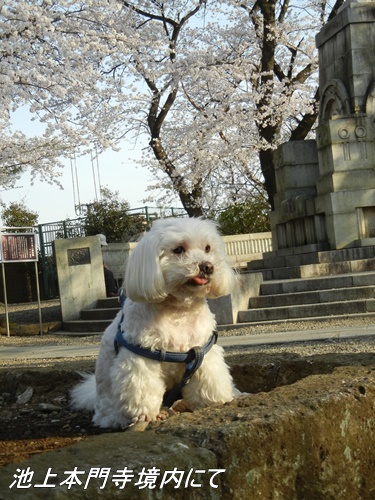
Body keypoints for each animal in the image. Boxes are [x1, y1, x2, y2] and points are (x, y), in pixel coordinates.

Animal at [71, 217, 241, 428]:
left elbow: (209, 380)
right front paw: (145, 415)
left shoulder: (203, 352)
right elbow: (143, 389)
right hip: (109, 409)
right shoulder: (140, 358)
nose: (207, 266)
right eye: (178, 250)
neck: (179, 311)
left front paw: (215, 401)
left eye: (208, 248)